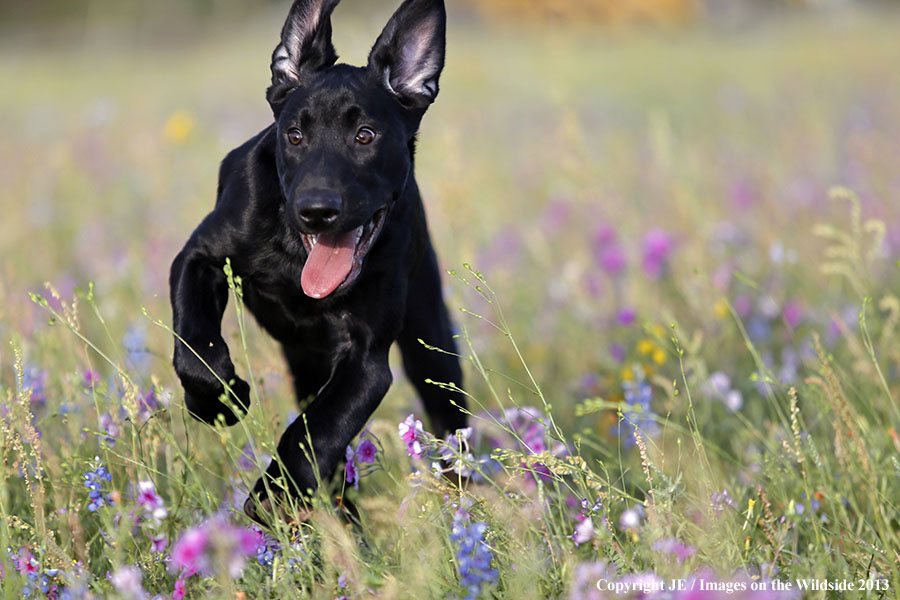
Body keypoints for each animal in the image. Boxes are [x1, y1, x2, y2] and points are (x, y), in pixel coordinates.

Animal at [168, 0, 464, 516]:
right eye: (294, 135)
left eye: (365, 135)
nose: (316, 211)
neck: (293, 254)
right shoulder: (197, 259)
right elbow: (196, 349)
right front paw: (220, 403)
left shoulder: (366, 361)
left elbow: (314, 432)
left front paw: (273, 497)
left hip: (431, 346)